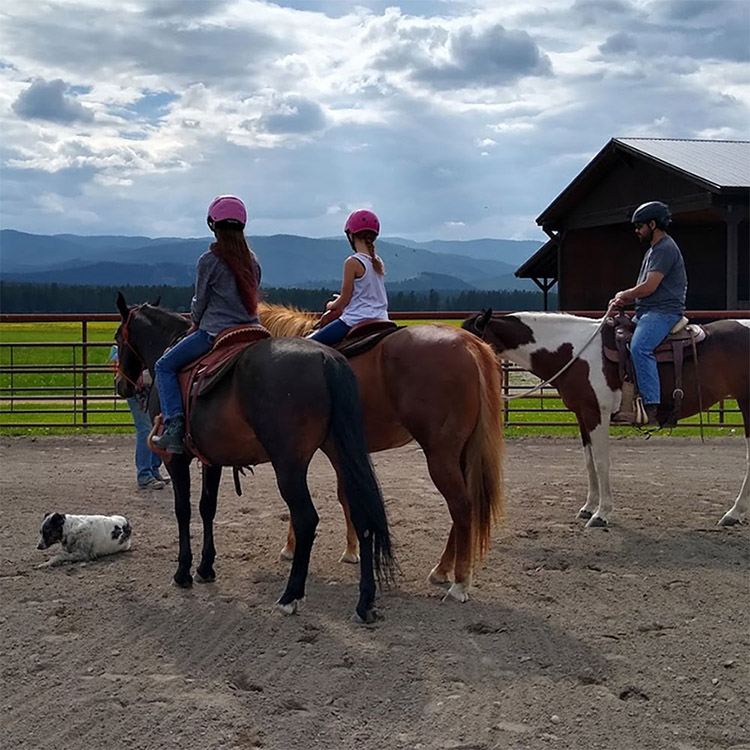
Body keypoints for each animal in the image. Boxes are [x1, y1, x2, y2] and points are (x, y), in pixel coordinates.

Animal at [114, 294, 396, 624]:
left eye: (118, 337)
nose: (122, 385)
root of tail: (328, 360)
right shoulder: (212, 459)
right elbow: (207, 508)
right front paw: (205, 568)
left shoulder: (176, 459)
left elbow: (183, 510)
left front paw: (183, 571)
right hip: (340, 453)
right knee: (362, 515)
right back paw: (364, 603)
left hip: (289, 465)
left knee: (306, 519)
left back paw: (290, 595)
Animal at [256, 302, 508, 604]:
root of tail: (470, 346)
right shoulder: (339, 448)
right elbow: (346, 495)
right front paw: (351, 550)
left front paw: (292, 547)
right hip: (461, 453)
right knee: (464, 508)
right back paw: (442, 569)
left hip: (440, 455)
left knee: (461, 506)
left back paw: (459, 583)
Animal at [464, 310, 750, 528]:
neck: (574, 353)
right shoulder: (582, 414)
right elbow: (589, 461)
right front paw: (588, 507)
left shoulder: (597, 414)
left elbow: (602, 462)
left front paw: (602, 514)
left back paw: (733, 513)